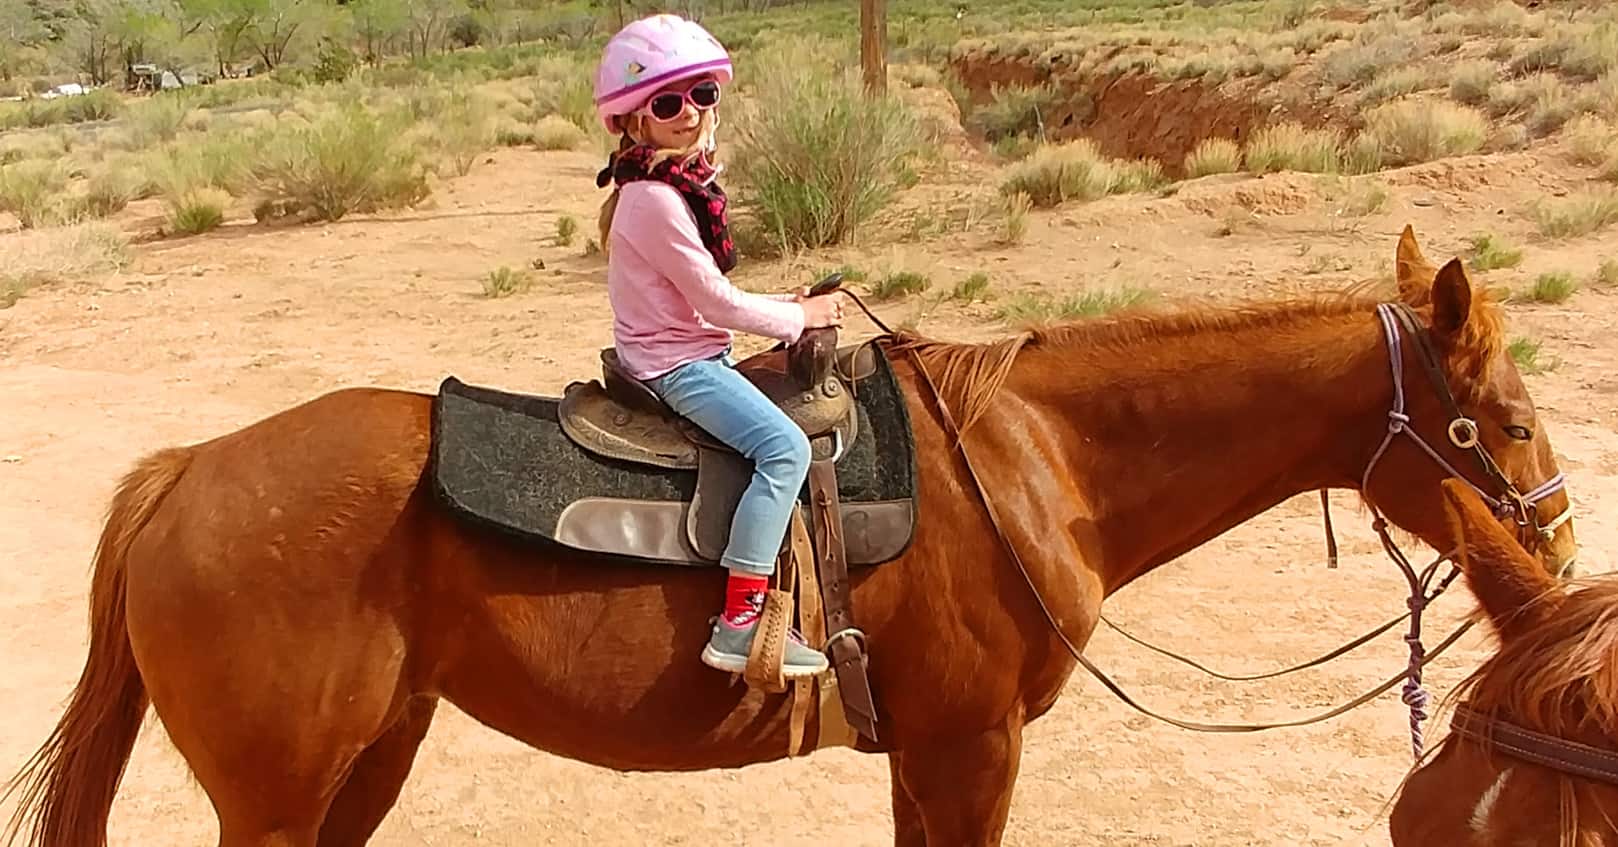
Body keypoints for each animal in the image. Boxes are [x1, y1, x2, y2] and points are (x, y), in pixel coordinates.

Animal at [3, 226, 1579, 847]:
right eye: (1500, 420)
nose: (1561, 559)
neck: (1035, 463)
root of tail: (188, 472)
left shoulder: (930, 752)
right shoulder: (973, 750)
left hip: (369, 756)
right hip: (277, 792)